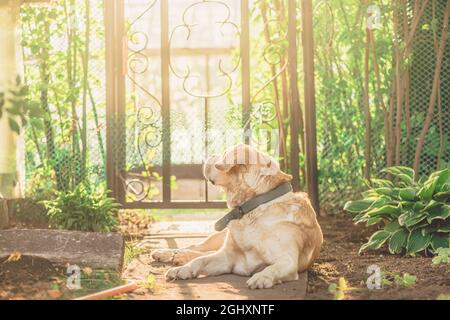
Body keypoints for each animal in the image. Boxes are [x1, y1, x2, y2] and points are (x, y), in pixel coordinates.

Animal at [153, 144, 322, 288]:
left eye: (223, 154)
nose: (210, 155)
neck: (254, 207)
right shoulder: (226, 258)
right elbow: (200, 260)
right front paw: (183, 270)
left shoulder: (288, 261)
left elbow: (271, 268)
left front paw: (262, 277)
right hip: (218, 237)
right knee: (197, 248)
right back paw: (169, 254)